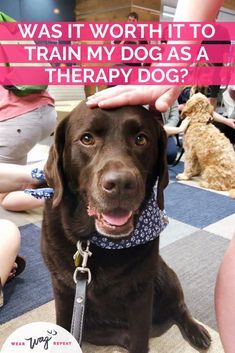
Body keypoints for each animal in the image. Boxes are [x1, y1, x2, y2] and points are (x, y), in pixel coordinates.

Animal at [41, 100, 211, 350]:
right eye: (87, 138)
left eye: (141, 139)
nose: (120, 183)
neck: (97, 243)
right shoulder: (63, 288)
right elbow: (63, 325)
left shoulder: (141, 291)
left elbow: (140, 338)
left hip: (164, 275)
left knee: (179, 307)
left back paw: (197, 331)